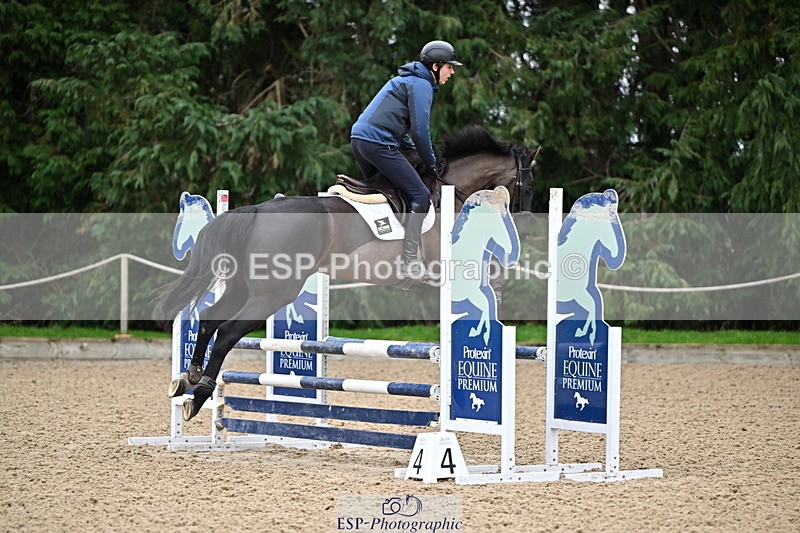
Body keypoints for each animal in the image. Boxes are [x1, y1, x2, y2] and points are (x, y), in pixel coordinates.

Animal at [154, 125, 536, 422]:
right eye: (530, 186)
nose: (528, 228)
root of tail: (259, 210)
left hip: (243, 288)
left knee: (208, 319)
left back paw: (187, 378)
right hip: (272, 294)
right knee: (227, 333)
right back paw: (199, 394)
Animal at [556, 189, 626, 345]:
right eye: (608, 223)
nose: (613, 254)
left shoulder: (581, 295)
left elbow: (592, 308)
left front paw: (586, 334)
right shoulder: (578, 294)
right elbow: (592, 307)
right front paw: (588, 334)